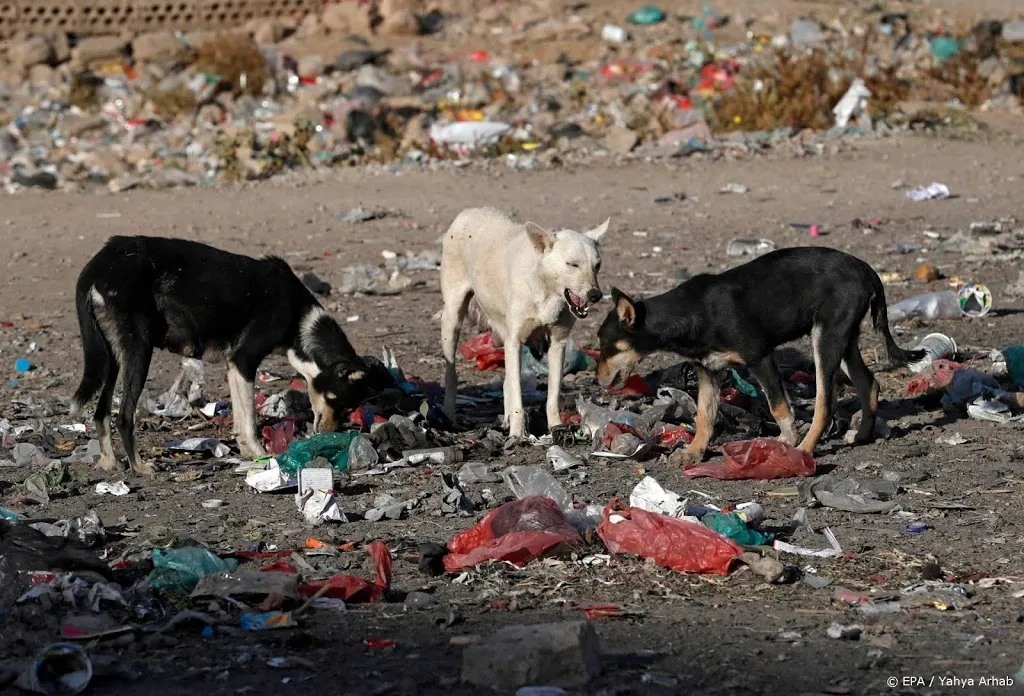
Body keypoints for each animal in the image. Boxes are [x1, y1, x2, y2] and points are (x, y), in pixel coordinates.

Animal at [70, 236, 393, 474]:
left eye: (349, 408)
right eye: (338, 402)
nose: (328, 434)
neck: (299, 318)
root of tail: (99, 264)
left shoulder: (234, 367)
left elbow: (240, 419)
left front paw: (251, 455)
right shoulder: (244, 361)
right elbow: (249, 421)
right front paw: (263, 455)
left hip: (112, 357)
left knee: (101, 412)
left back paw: (109, 463)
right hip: (138, 351)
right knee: (124, 416)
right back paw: (139, 467)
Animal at [440, 203, 606, 438]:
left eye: (597, 266)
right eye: (572, 264)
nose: (595, 295)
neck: (546, 290)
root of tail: (470, 210)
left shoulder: (558, 343)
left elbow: (552, 394)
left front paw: (556, 427)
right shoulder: (515, 341)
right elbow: (518, 392)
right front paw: (518, 434)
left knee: (507, 381)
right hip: (453, 317)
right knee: (453, 373)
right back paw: (449, 416)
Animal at [598, 247, 925, 464]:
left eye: (606, 345)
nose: (597, 380)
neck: (692, 313)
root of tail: (865, 268)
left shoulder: (761, 358)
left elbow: (778, 407)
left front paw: (787, 440)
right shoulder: (708, 371)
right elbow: (704, 416)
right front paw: (694, 451)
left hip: (826, 338)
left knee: (825, 401)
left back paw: (805, 448)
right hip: (844, 339)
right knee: (869, 383)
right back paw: (862, 435)